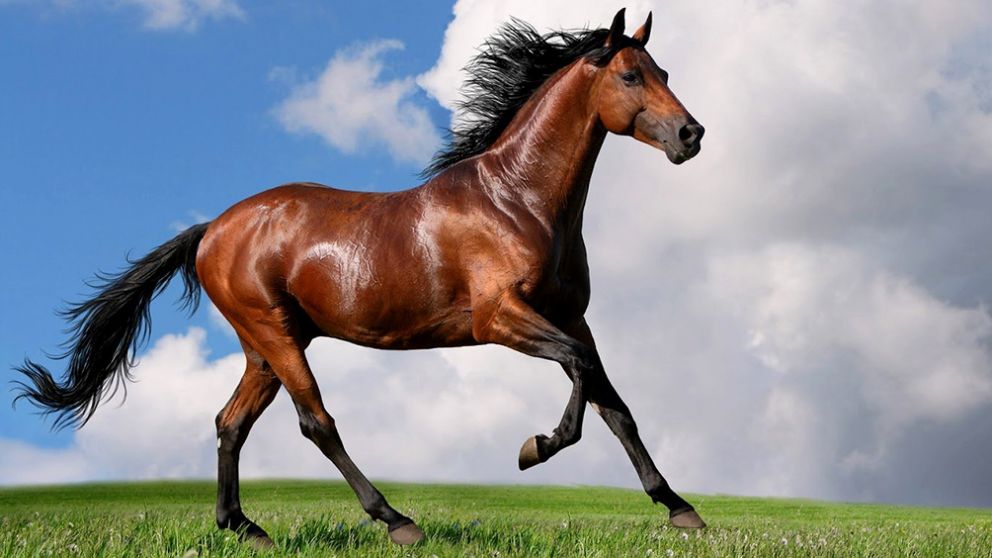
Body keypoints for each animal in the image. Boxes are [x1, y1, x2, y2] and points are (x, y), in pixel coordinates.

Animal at [14, 8, 706, 547]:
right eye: (630, 74)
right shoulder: (500, 318)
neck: (518, 200)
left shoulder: (571, 316)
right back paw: (396, 520)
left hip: (265, 346)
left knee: (230, 422)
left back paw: (245, 527)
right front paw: (534, 447)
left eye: (665, 73)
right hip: (274, 334)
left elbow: (614, 404)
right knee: (315, 421)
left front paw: (679, 508)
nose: (691, 134)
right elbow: (582, 379)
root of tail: (212, 228)